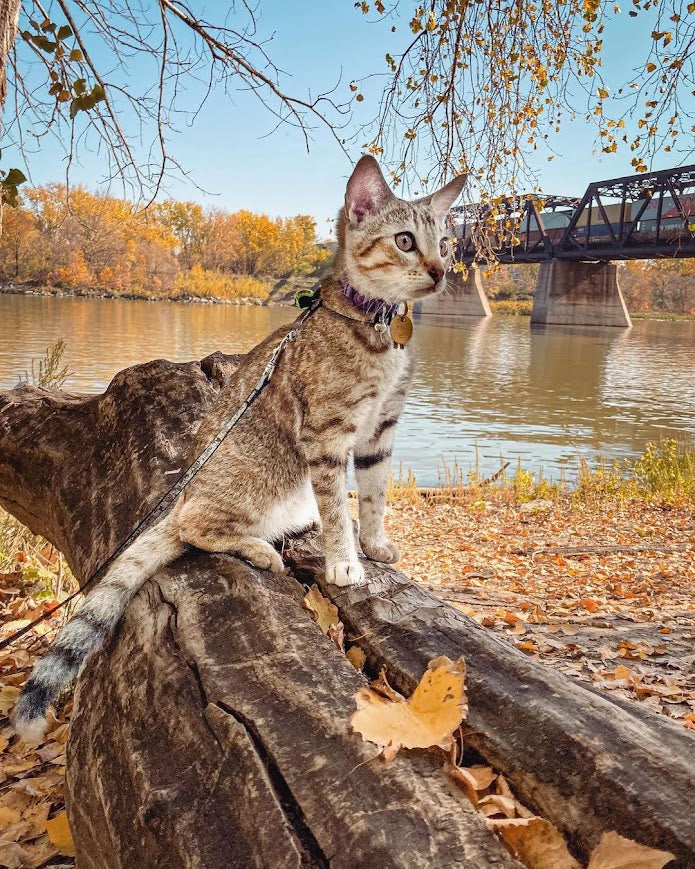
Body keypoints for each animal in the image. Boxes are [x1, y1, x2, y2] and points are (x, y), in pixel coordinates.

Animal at [12, 156, 468, 740]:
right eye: (406, 241)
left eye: (447, 243)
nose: (439, 271)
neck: (380, 328)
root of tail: (182, 497)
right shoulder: (328, 435)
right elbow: (339, 508)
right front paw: (345, 560)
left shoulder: (380, 431)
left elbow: (372, 496)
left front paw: (374, 541)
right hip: (254, 479)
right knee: (195, 528)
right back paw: (258, 548)